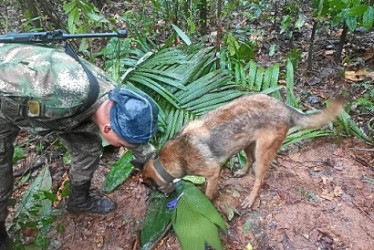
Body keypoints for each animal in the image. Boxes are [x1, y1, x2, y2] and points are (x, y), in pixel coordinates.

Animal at [141, 93, 344, 207]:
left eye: (155, 189)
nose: (167, 196)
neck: (166, 162)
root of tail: (284, 106)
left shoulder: (213, 174)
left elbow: (208, 194)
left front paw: (207, 204)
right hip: (247, 143)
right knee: (249, 160)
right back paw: (241, 172)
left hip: (262, 153)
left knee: (259, 178)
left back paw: (250, 199)